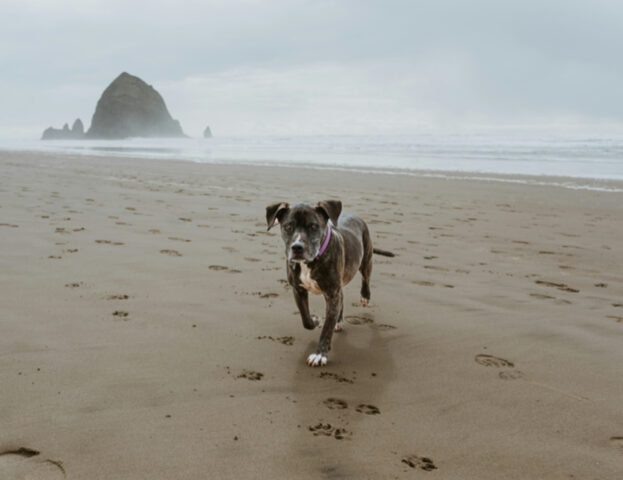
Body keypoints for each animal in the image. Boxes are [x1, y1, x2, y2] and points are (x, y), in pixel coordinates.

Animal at [264, 200, 376, 368]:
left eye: (313, 226)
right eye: (288, 226)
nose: (297, 247)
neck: (309, 262)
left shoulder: (332, 293)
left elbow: (327, 328)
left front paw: (320, 354)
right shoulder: (299, 290)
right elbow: (305, 319)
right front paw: (315, 320)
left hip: (366, 257)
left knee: (366, 277)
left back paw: (365, 296)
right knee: (342, 298)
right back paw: (339, 321)